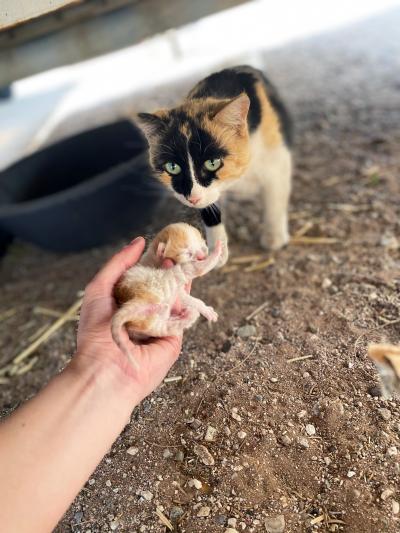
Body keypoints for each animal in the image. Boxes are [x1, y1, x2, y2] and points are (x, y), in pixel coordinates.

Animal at [111, 223, 220, 366]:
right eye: (187, 253)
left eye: (202, 245)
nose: (202, 256)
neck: (154, 255)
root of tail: (138, 297)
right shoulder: (178, 290)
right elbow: (190, 299)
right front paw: (206, 310)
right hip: (164, 280)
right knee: (190, 270)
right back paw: (217, 251)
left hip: (150, 325)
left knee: (167, 327)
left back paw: (188, 315)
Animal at [136, 65, 292, 264]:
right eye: (172, 167)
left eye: (212, 163)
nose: (192, 198)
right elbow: (210, 208)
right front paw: (218, 251)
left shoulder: (277, 161)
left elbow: (275, 201)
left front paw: (274, 238)